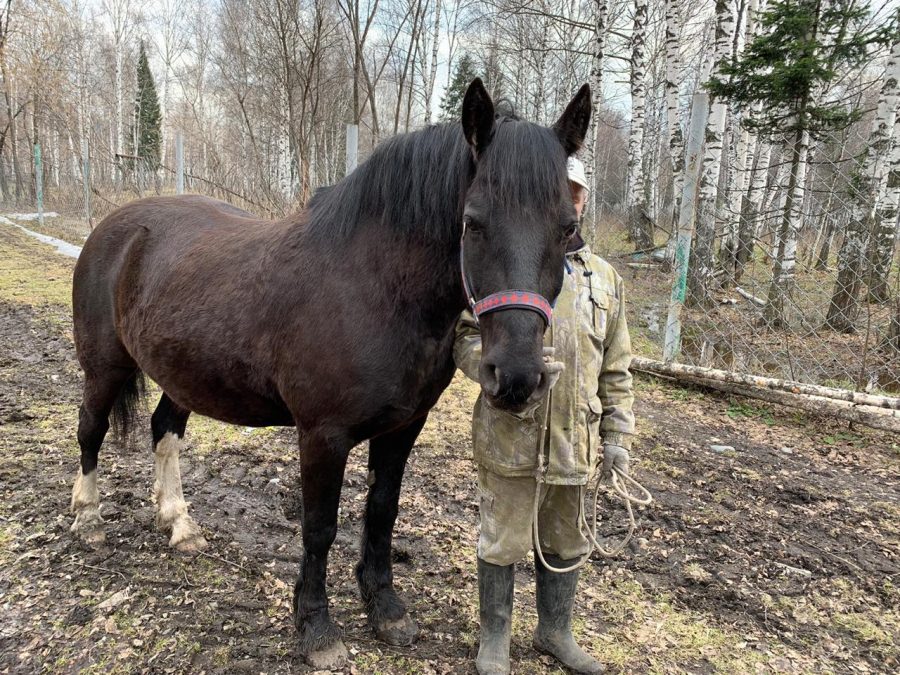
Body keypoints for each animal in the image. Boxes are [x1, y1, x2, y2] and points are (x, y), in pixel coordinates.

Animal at [70, 78, 592, 664]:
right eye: (472, 222)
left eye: (568, 229)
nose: (519, 377)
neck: (375, 287)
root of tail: (115, 226)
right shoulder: (322, 434)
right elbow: (319, 527)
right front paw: (316, 628)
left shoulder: (403, 428)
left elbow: (382, 512)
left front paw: (386, 610)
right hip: (104, 367)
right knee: (90, 431)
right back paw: (87, 519)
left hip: (182, 375)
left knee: (164, 432)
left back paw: (179, 525)